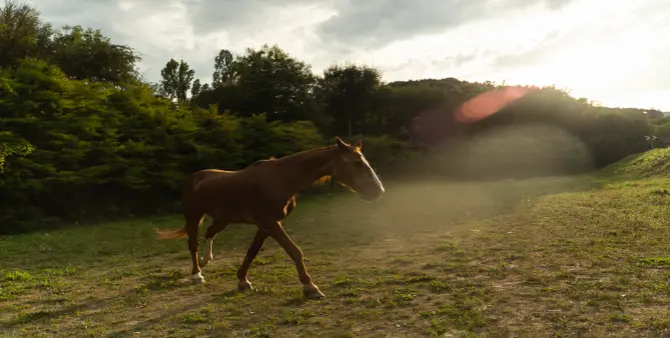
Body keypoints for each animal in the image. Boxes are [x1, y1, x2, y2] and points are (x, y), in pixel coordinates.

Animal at [157, 136, 386, 300]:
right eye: (356, 163)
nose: (378, 191)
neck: (280, 180)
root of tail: (194, 177)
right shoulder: (269, 222)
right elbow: (295, 251)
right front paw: (310, 287)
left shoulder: (267, 225)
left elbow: (252, 252)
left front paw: (242, 281)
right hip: (194, 215)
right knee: (193, 243)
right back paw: (197, 274)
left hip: (223, 218)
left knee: (210, 232)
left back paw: (207, 260)